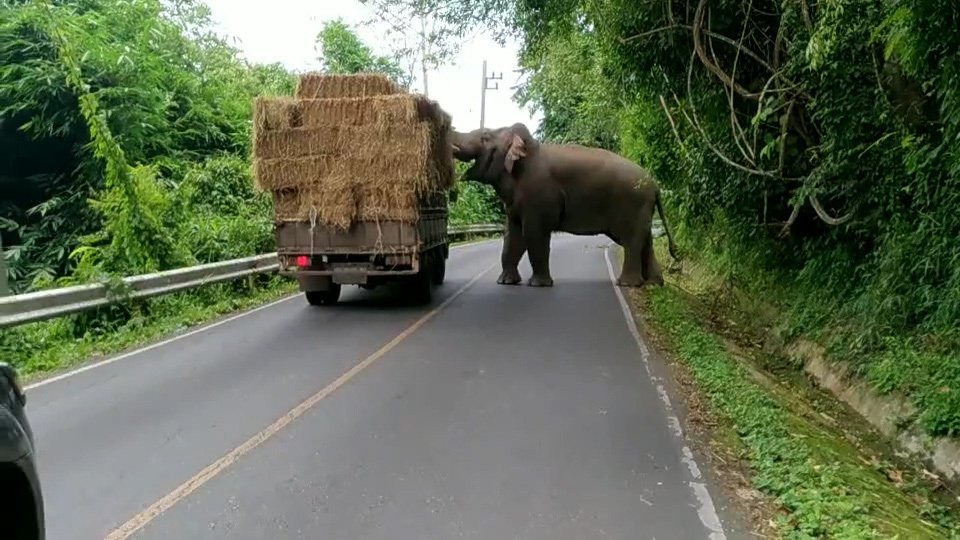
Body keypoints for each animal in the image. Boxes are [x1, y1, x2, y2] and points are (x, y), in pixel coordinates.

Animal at [452, 123, 684, 288]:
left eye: (484, 137)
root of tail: (655, 185)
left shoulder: (540, 196)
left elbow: (534, 234)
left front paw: (538, 285)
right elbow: (512, 236)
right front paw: (506, 282)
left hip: (634, 204)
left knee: (632, 241)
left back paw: (628, 284)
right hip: (644, 209)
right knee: (646, 240)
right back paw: (654, 283)